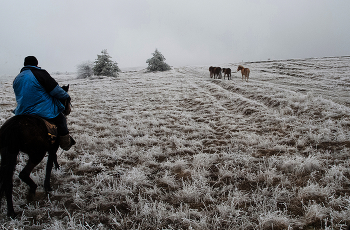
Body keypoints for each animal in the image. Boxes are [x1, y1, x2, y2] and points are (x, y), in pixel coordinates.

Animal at [0, 84, 72, 217]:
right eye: (67, 99)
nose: (68, 110)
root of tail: (13, 126)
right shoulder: (52, 148)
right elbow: (49, 166)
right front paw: (48, 186)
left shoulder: (51, 148)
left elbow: (53, 160)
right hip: (37, 153)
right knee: (23, 174)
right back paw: (32, 190)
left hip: (9, 153)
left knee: (7, 182)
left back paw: (11, 211)